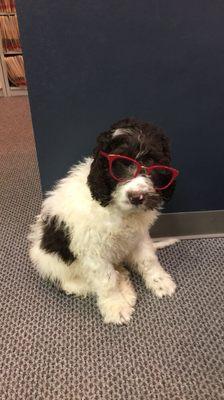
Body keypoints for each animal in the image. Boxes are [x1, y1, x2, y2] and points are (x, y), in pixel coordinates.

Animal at [28, 117, 179, 324]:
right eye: (120, 163)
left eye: (151, 161)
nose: (137, 197)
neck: (120, 211)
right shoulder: (92, 250)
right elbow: (106, 280)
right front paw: (116, 306)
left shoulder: (139, 235)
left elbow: (148, 259)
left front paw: (160, 281)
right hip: (53, 263)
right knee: (75, 283)